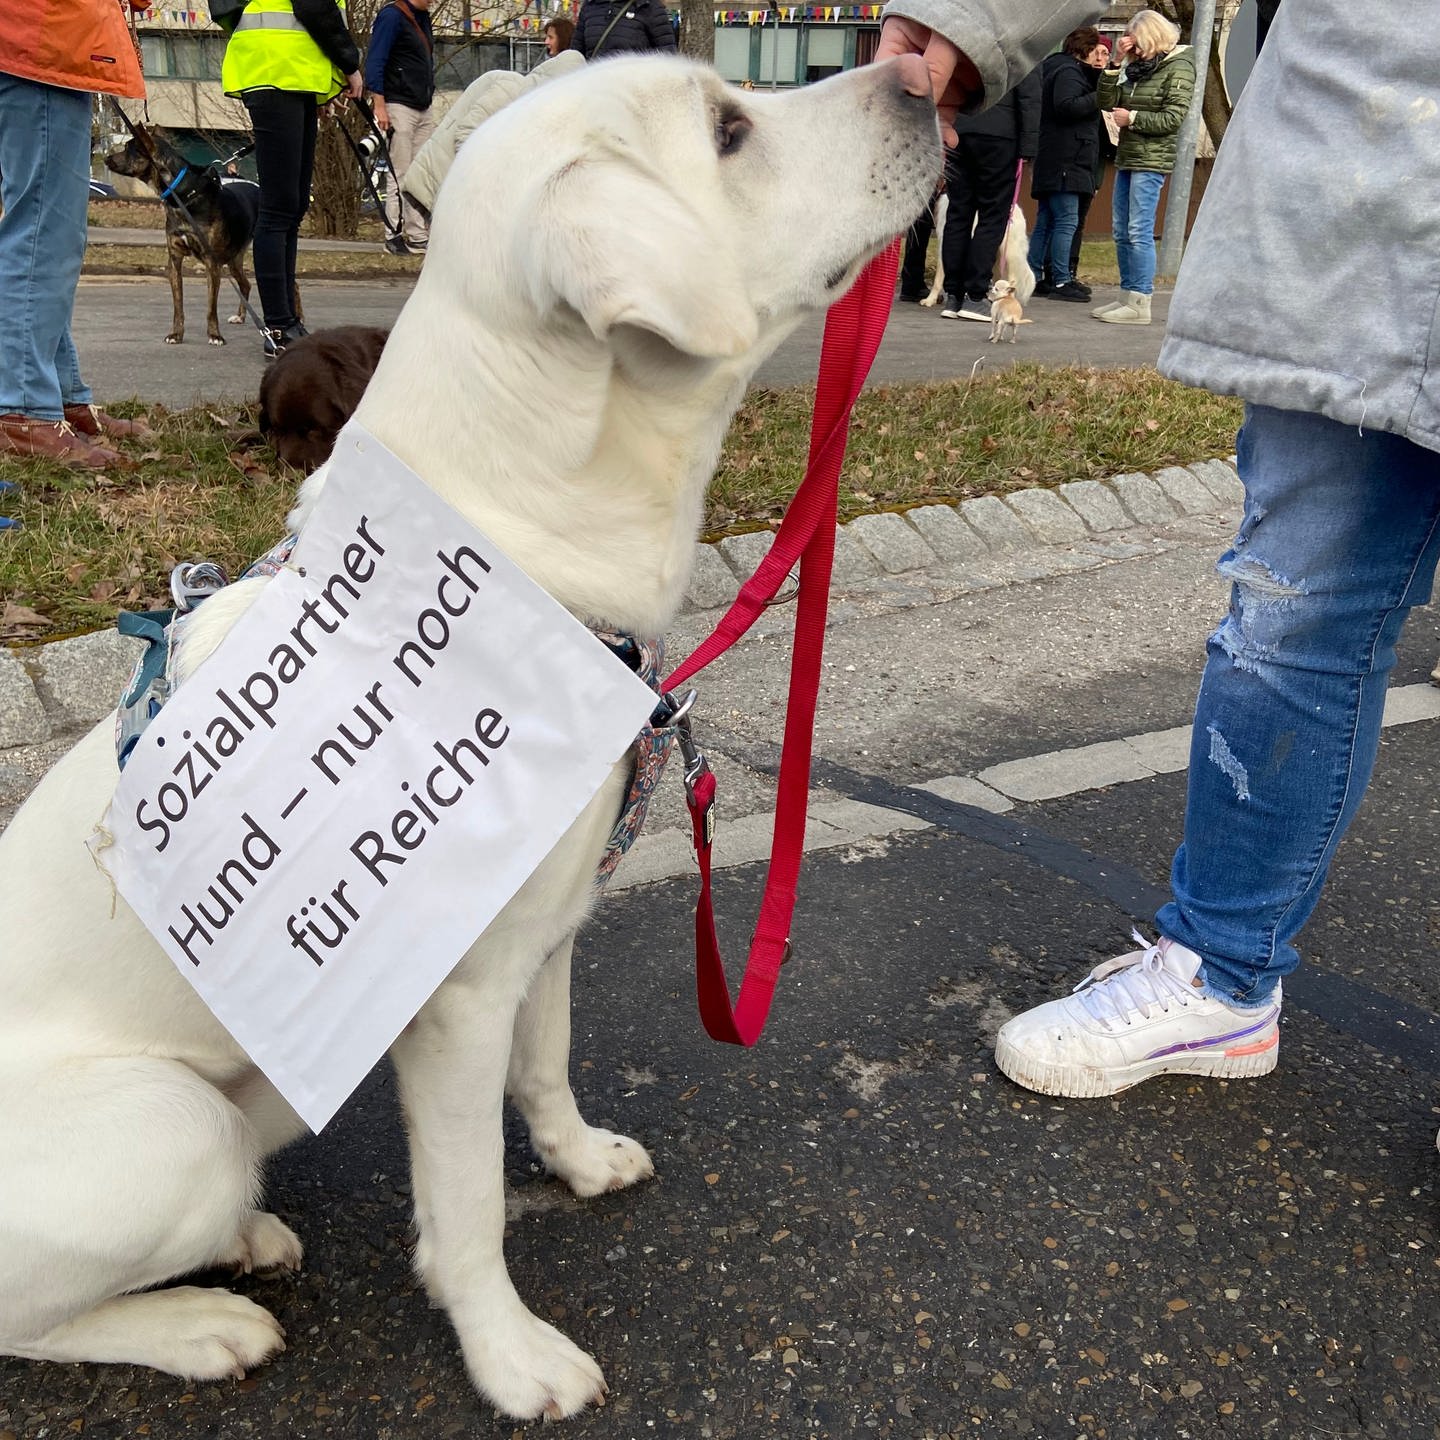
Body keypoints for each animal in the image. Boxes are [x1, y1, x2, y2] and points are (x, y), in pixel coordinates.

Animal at [106, 125, 267, 347]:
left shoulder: (212, 263)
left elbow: (211, 307)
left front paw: (214, 335)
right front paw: (176, 334)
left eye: (128, 148)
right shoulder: (174, 260)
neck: (182, 195)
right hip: (234, 257)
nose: (106, 158)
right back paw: (241, 316)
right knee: (246, 284)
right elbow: (178, 306)